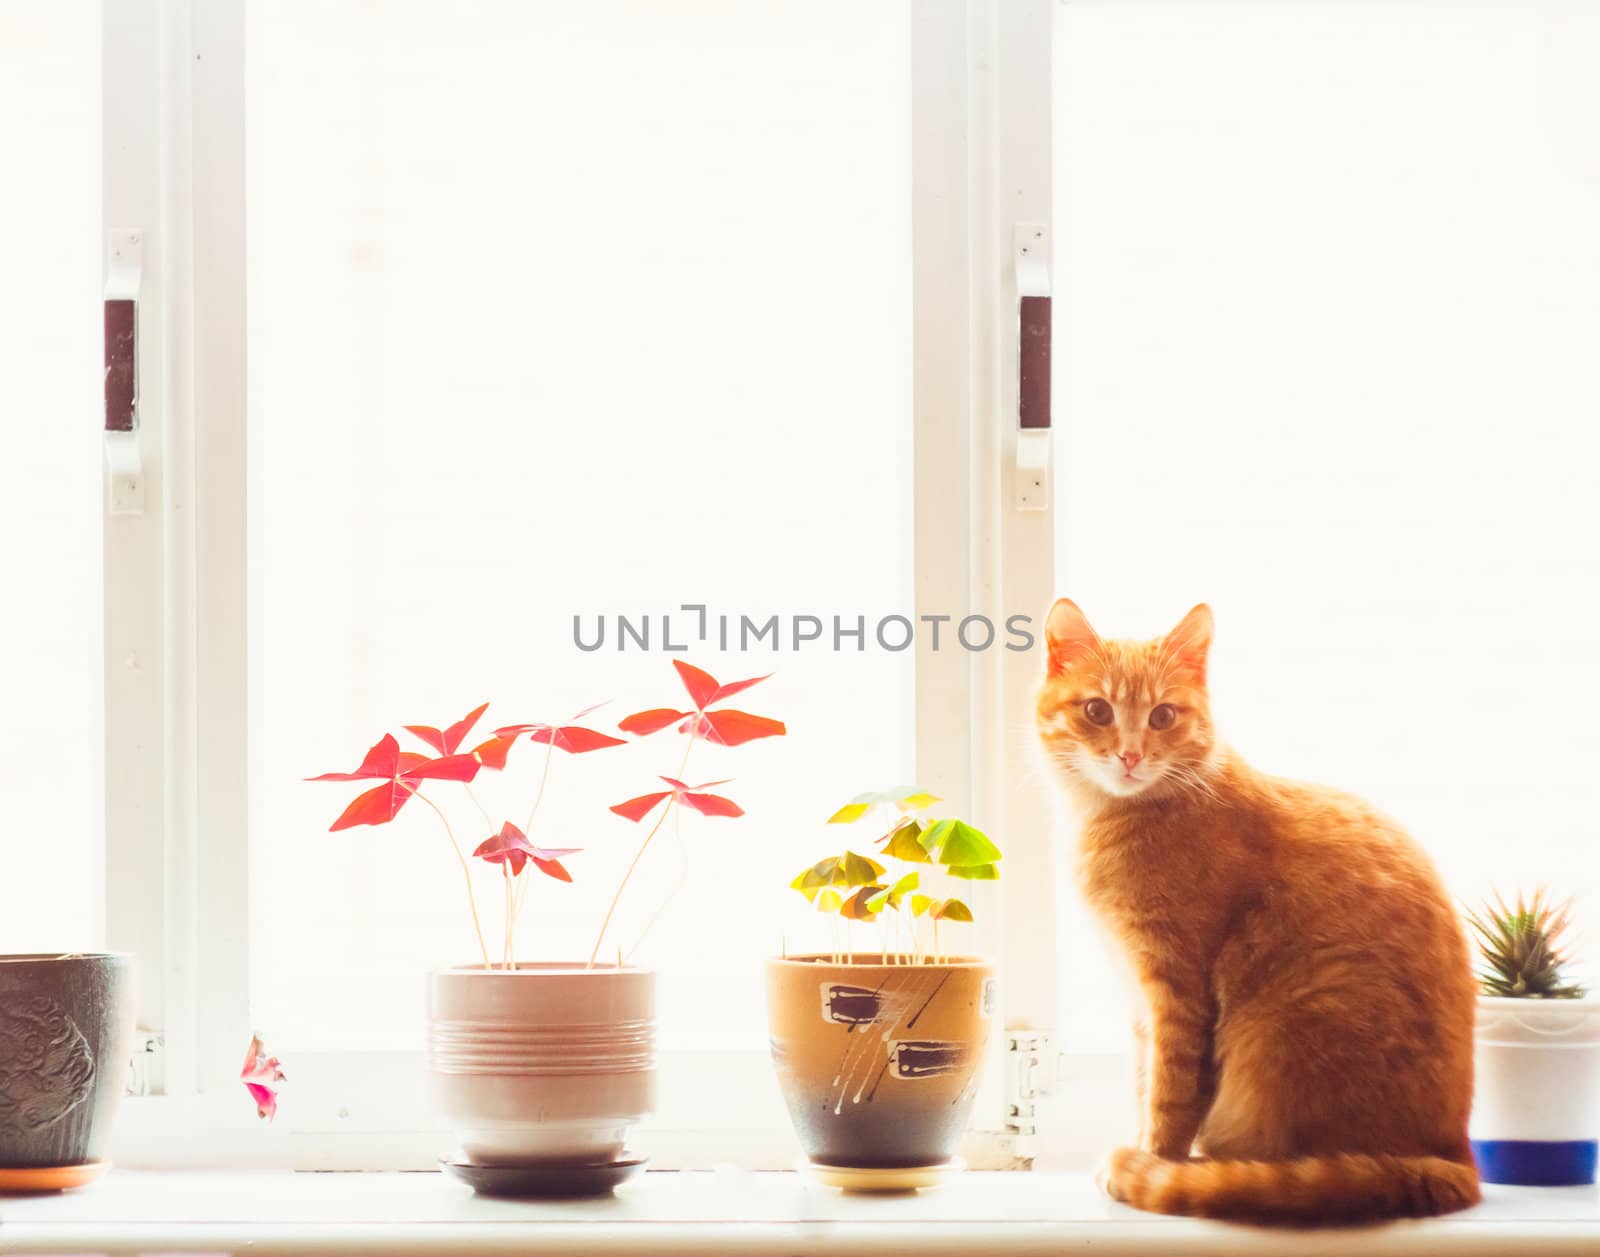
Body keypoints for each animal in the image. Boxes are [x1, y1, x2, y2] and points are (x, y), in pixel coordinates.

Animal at [1036, 601, 1472, 1221]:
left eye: (1163, 716)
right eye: (1097, 710)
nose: (1130, 755)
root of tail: (1456, 1160)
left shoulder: (1176, 990)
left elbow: (1169, 1094)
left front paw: (1153, 1162)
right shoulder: (1141, 999)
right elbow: (1144, 1083)